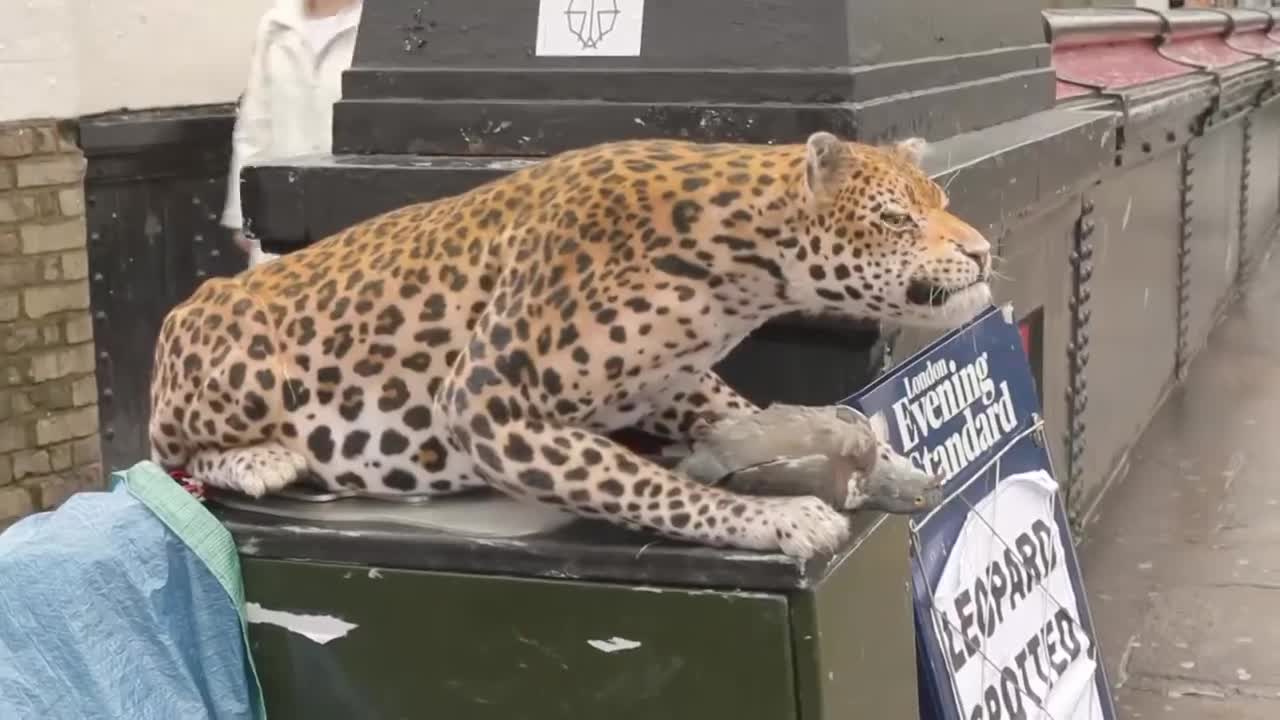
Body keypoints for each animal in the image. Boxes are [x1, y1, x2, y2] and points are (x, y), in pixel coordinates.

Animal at [147, 131, 988, 558]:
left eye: (944, 202)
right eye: (895, 218)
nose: (981, 251)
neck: (742, 270)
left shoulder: (669, 381)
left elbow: (747, 417)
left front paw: (876, 457)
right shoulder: (486, 407)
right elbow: (641, 485)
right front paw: (775, 519)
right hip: (237, 356)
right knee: (166, 451)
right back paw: (261, 459)